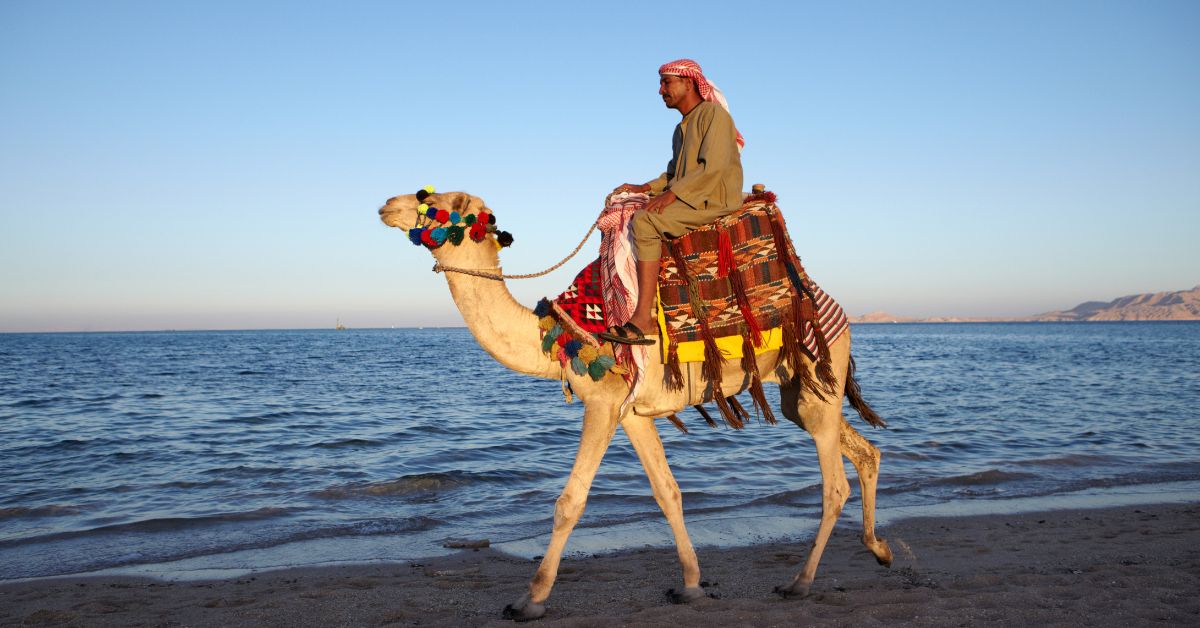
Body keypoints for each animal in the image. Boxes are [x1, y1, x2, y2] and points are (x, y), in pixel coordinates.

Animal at [379, 191, 893, 621]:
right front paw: (690, 585)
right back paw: (879, 548)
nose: (387, 204)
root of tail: (839, 312)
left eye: (439, 202)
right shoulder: (631, 413)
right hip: (798, 392)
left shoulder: (603, 402)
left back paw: (799, 582)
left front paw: (530, 600)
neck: (564, 335)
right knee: (865, 451)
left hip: (818, 372)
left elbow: (570, 502)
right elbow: (668, 493)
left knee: (834, 486)